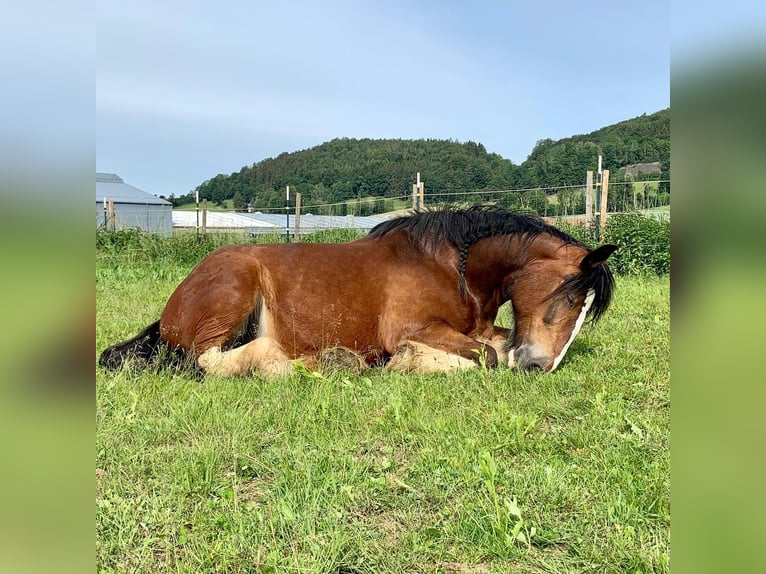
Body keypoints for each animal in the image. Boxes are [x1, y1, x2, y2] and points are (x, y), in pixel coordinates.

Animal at [100, 207, 616, 378]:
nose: (540, 367)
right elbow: (486, 357)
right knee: (210, 361)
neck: (452, 265)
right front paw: (413, 362)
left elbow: (497, 344)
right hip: (235, 290)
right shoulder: (413, 328)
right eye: (571, 297)